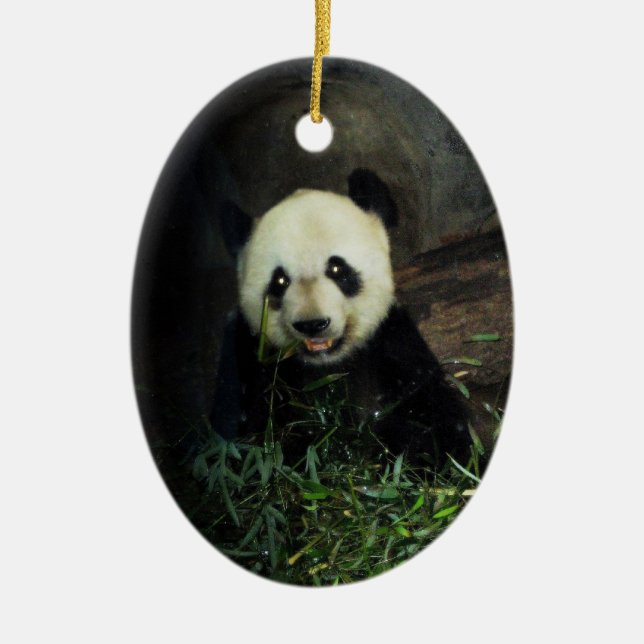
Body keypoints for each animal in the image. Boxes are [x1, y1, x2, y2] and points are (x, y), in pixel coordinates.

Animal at [211, 169, 473, 469]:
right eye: (280, 280)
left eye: (337, 268)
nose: (312, 324)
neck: (328, 365)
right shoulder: (252, 360)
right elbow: (256, 440)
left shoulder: (392, 345)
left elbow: (432, 422)